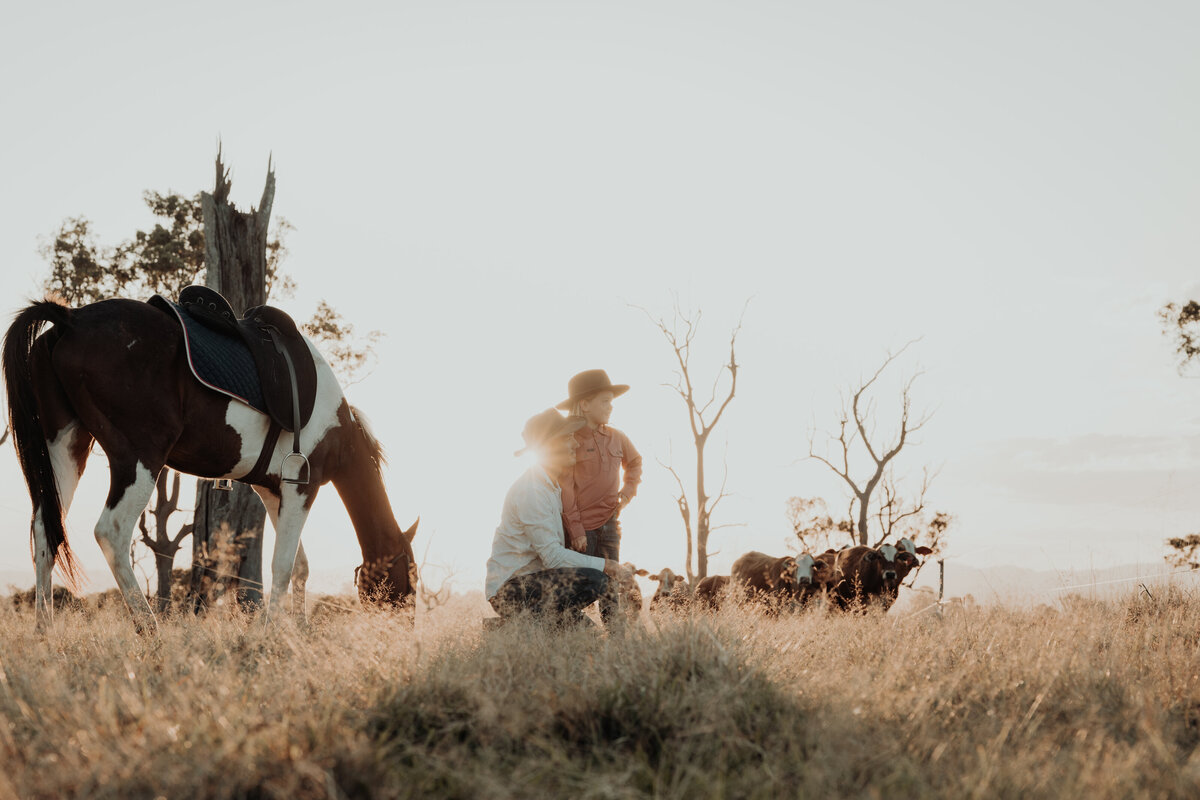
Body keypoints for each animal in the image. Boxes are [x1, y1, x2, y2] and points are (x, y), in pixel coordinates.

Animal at [3, 297, 417, 633]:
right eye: (410, 574)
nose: (406, 625)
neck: (336, 423)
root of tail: (69, 319)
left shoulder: (275, 490)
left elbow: (299, 566)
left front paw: (297, 629)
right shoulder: (303, 486)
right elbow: (283, 565)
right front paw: (268, 633)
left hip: (66, 446)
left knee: (45, 530)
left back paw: (45, 632)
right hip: (138, 458)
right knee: (111, 532)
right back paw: (149, 628)